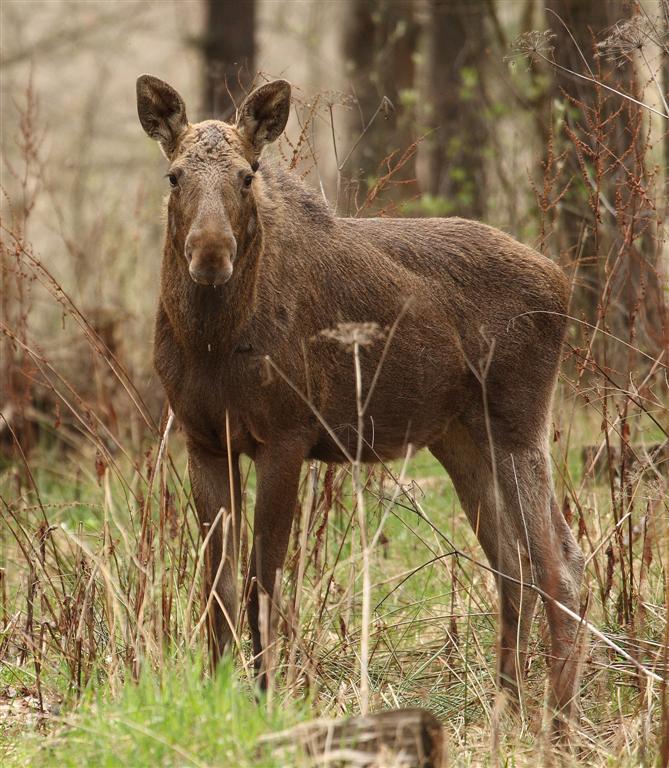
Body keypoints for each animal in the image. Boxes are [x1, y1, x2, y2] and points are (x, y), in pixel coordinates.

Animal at [137, 75, 584, 728]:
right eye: (173, 176)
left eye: (248, 174)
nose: (211, 253)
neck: (212, 343)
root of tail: (563, 283)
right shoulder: (204, 440)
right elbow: (218, 584)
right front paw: (220, 694)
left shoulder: (287, 434)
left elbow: (262, 578)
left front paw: (266, 699)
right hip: (461, 436)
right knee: (514, 565)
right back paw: (506, 705)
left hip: (519, 421)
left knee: (561, 567)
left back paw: (557, 722)